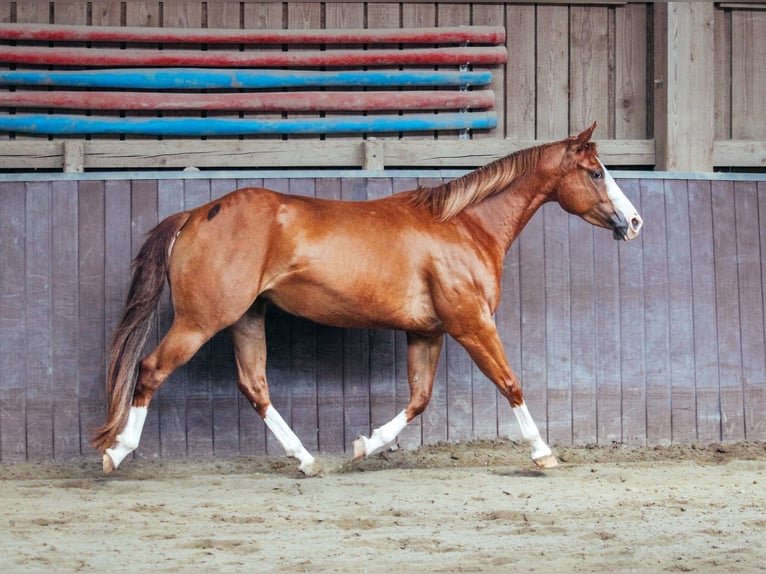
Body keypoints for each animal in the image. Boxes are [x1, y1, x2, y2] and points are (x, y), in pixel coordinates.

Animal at [92, 122, 643, 475]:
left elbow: (418, 401)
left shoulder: (428, 332)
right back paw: (115, 454)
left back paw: (308, 461)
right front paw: (543, 453)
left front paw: (361, 446)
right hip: (203, 318)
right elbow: (511, 384)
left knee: (255, 386)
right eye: (596, 173)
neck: (463, 226)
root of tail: (195, 213)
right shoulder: (471, 324)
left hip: (246, 318)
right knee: (150, 370)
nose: (634, 222)